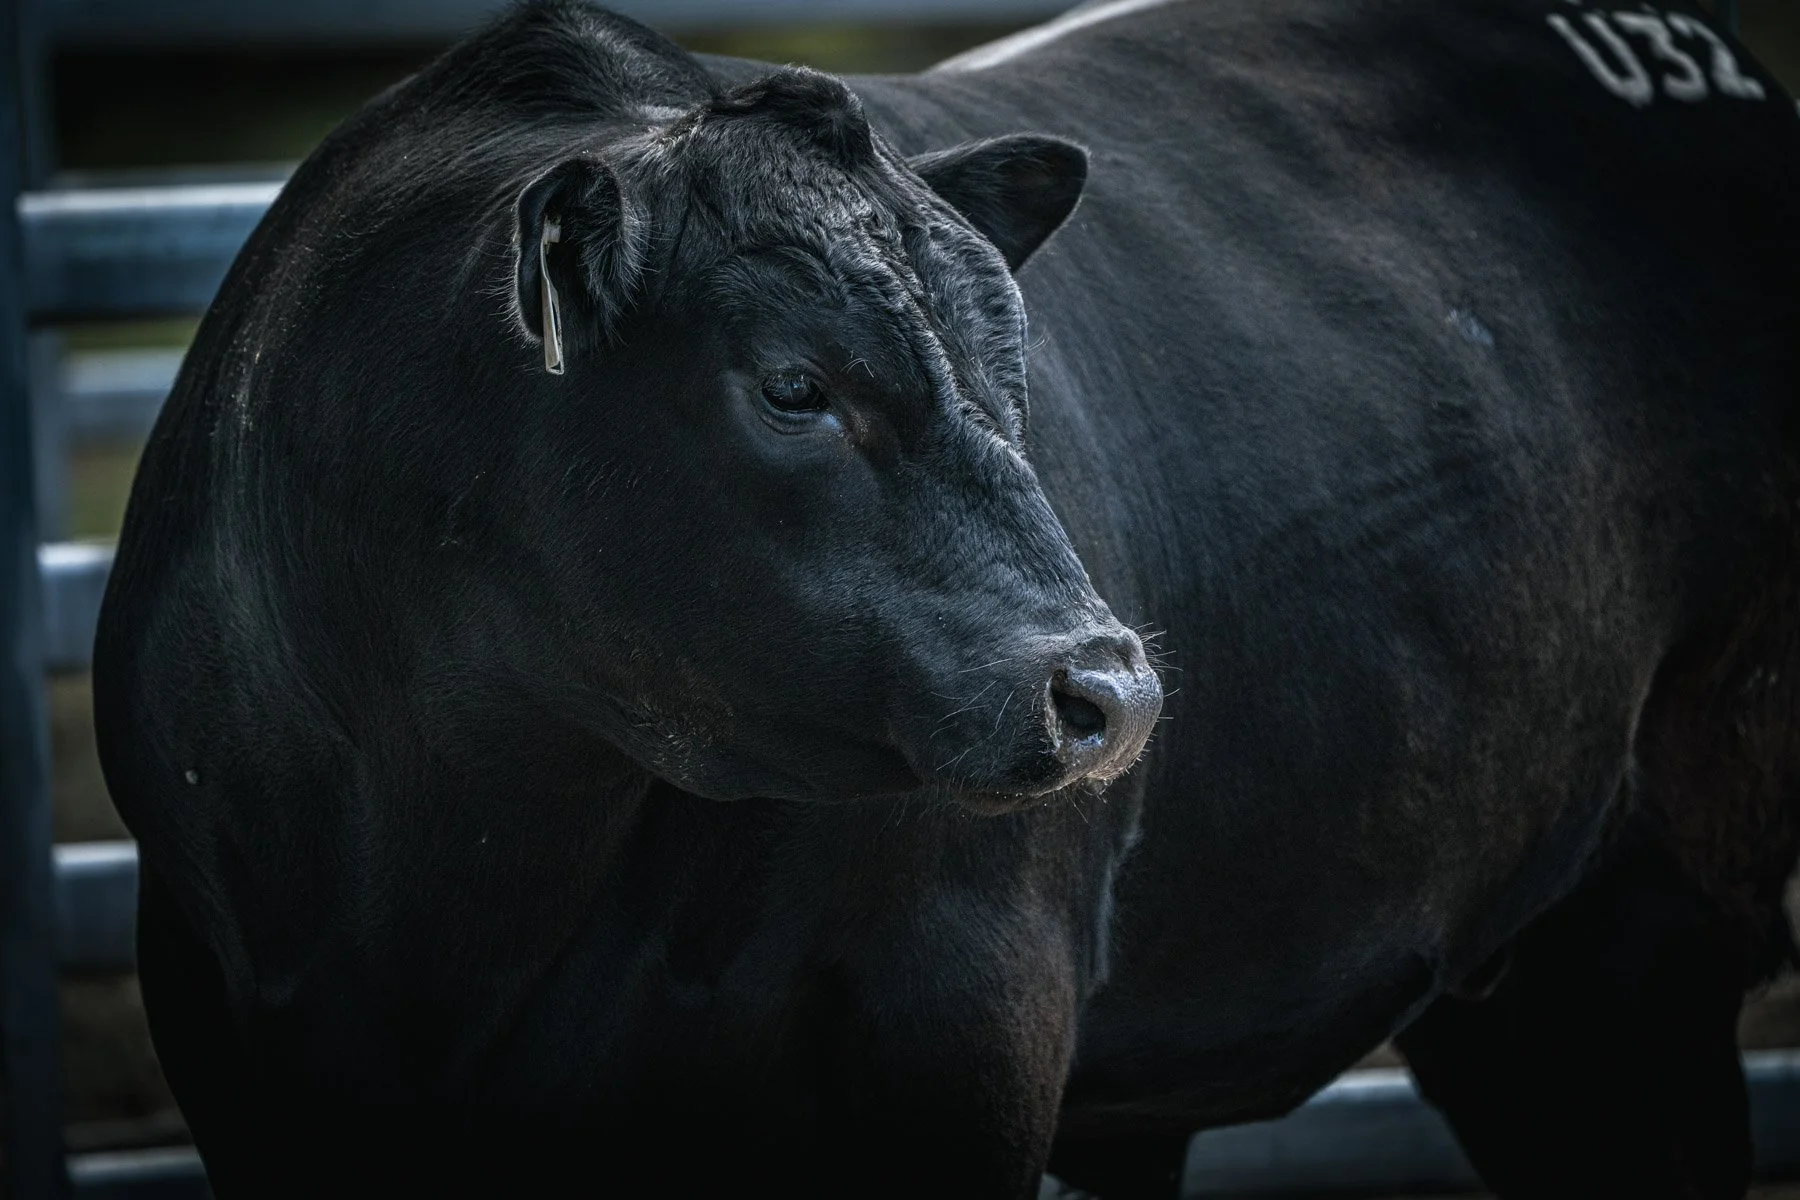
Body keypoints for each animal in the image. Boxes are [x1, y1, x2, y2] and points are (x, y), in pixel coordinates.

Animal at [92, 1, 1800, 1196]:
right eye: (791, 385)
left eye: (1013, 360)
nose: (1111, 691)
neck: (441, 876)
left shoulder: (953, 1031)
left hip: (1657, 921)